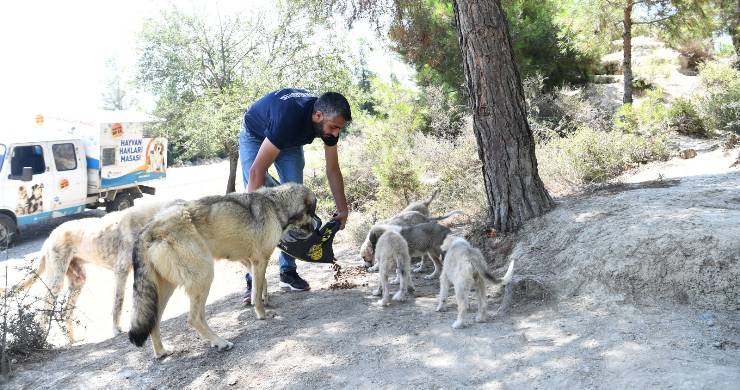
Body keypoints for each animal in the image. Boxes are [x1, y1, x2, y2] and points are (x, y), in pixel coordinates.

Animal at [6, 200, 179, 342]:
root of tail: (49, 238)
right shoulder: (121, 272)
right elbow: (118, 303)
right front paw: (116, 330)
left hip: (78, 281)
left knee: (65, 313)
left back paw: (72, 340)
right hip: (56, 283)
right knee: (45, 310)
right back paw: (41, 339)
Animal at [128, 184, 318, 358]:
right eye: (312, 213)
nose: (315, 228)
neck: (275, 204)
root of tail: (147, 229)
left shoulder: (248, 260)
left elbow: (259, 284)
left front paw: (262, 299)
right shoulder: (260, 259)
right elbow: (257, 292)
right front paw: (262, 313)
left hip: (166, 289)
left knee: (154, 322)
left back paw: (162, 352)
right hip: (204, 276)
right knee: (194, 319)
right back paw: (220, 342)